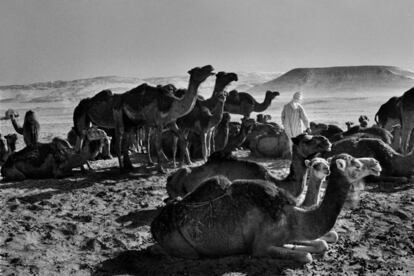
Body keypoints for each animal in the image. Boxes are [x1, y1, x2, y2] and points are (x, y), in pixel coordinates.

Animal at [73, 65, 213, 171]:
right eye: (198, 70)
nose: (210, 67)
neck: (173, 104)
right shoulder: (158, 123)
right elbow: (157, 144)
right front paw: (161, 168)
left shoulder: (171, 122)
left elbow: (183, 140)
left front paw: (180, 165)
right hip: (110, 119)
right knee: (111, 142)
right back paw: (117, 168)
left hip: (123, 123)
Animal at [152, 153, 382, 264]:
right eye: (356, 164)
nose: (377, 163)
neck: (293, 216)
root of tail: (155, 225)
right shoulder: (261, 246)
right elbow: (305, 256)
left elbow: (320, 243)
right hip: (182, 246)